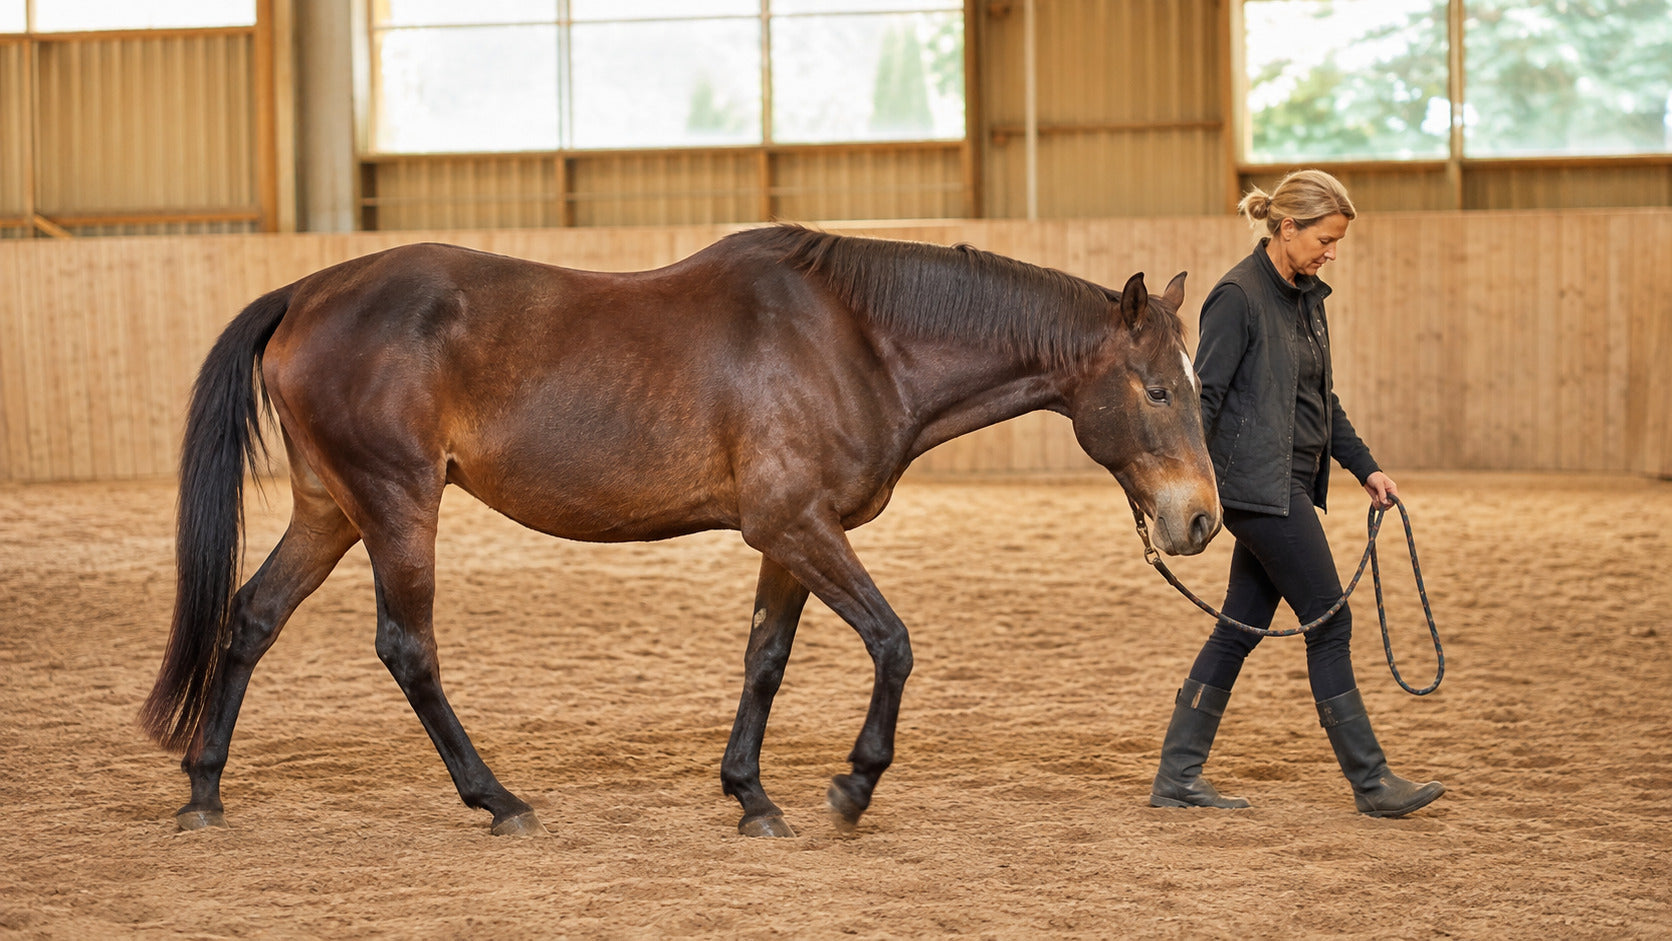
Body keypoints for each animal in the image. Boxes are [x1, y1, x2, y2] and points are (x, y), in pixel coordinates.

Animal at [139, 224, 1221, 839]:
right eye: (1158, 389)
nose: (1199, 517)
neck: (854, 337)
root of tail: (305, 294)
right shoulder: (798, 525)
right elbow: (893, 642)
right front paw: (852, 785)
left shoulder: (788, 536)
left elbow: (765, 660)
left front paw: (751, 795)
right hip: (398, 506)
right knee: (408, 647)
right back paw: (498, 799)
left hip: (330, 511)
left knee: (251, 617)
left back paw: (202, 789)